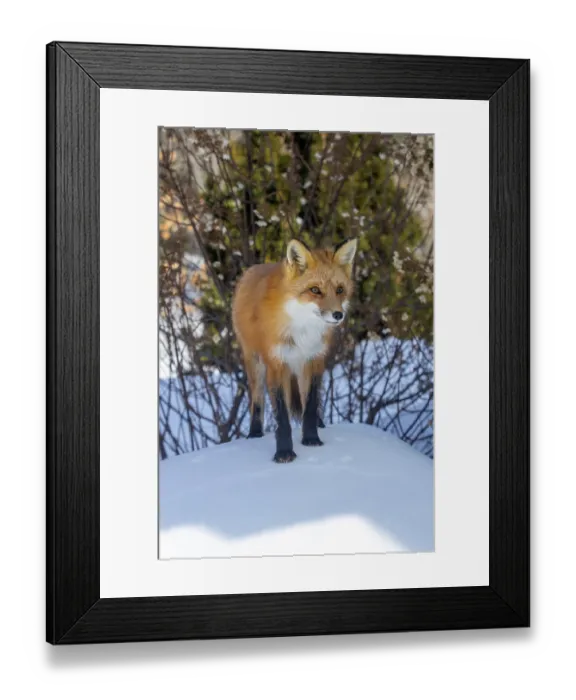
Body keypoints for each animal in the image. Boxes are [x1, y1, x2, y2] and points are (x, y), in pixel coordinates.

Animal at [232, 237, 358, 463]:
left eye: (340, 290)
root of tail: (252, 269)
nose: (338, 315)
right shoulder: (276, 364)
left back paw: (320, 424)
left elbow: (310, 406)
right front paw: (284, 452)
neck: (303, 331)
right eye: (315, 290)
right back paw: (255, 433)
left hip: (298, 368)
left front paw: (311, 438)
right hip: (255, 362)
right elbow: (282, 417)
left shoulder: (314, 360)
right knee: (257, 400)